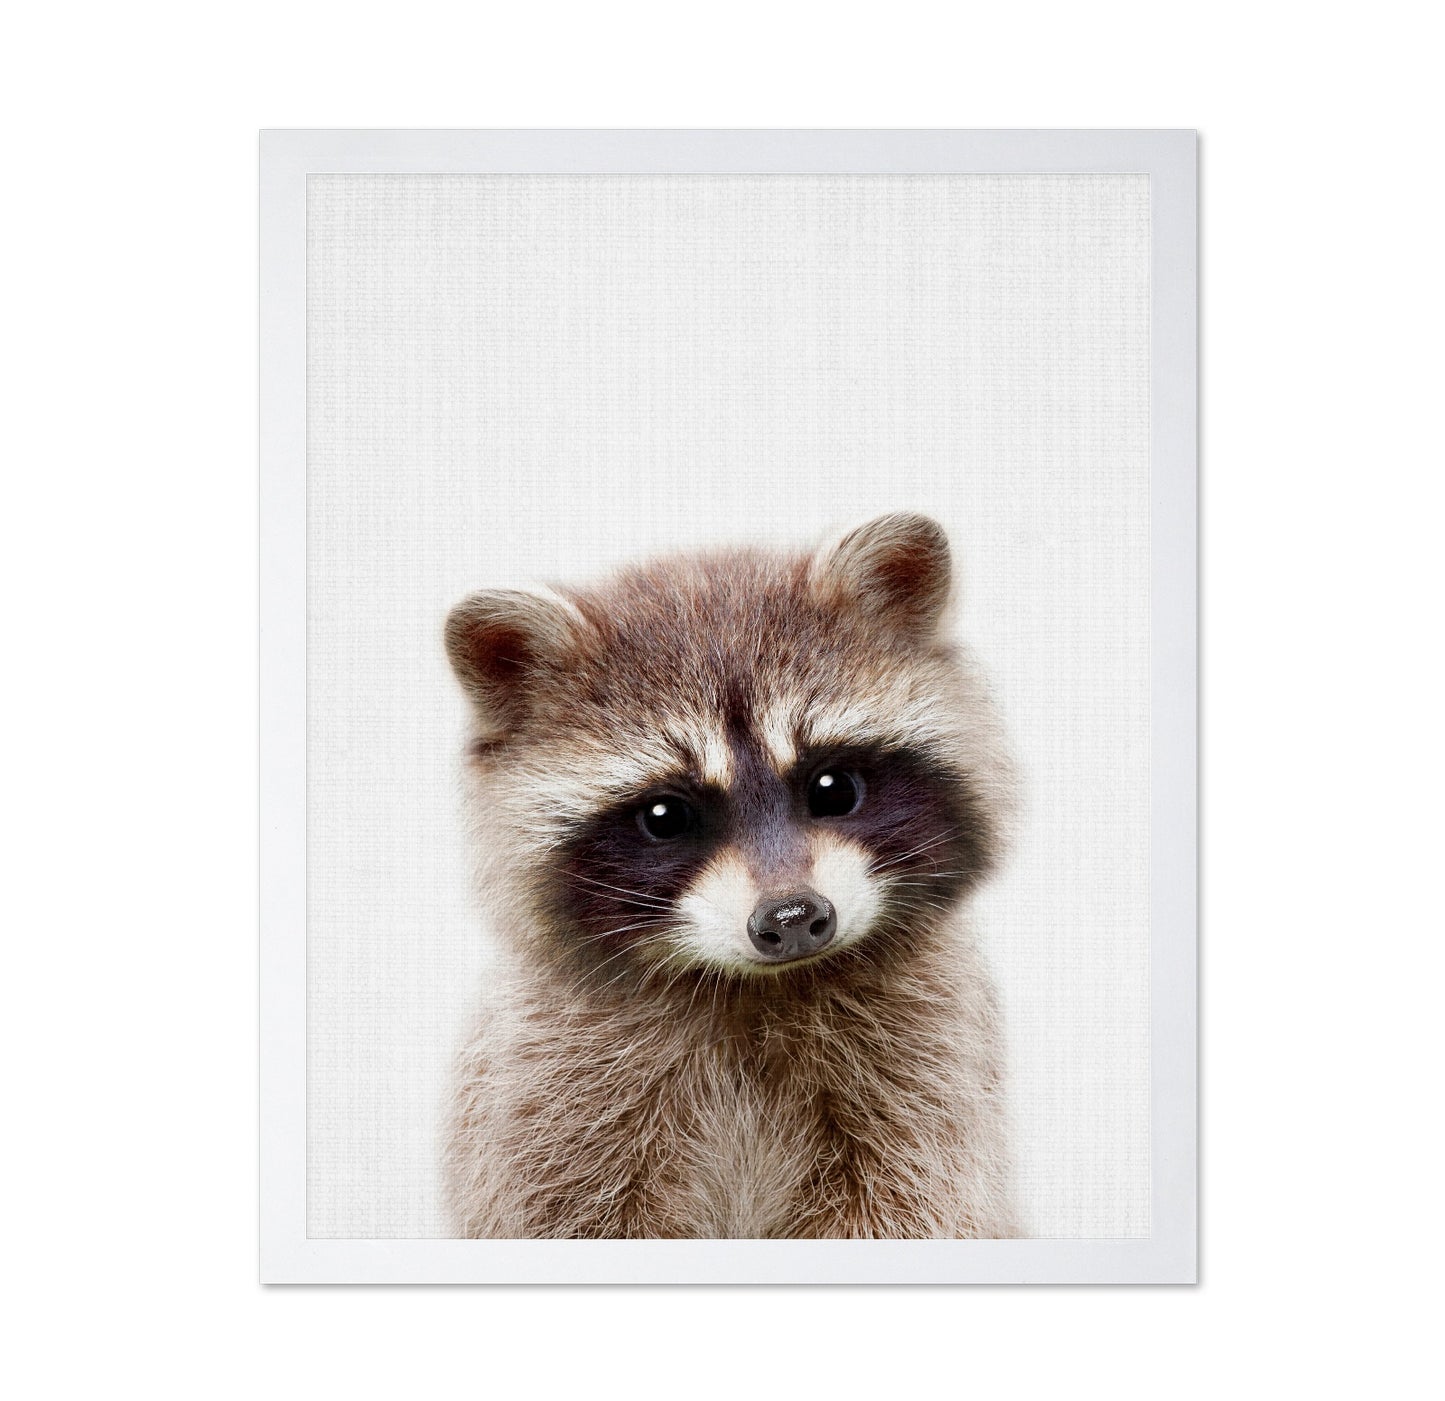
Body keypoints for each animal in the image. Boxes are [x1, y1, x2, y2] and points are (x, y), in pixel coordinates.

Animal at [443, 513, 1019, 1239]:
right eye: (664, 816)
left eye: (833, 787)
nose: (793, 918)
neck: (754, 989)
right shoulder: (546, 1094)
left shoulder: (927, 1074)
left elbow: (909, 1203)